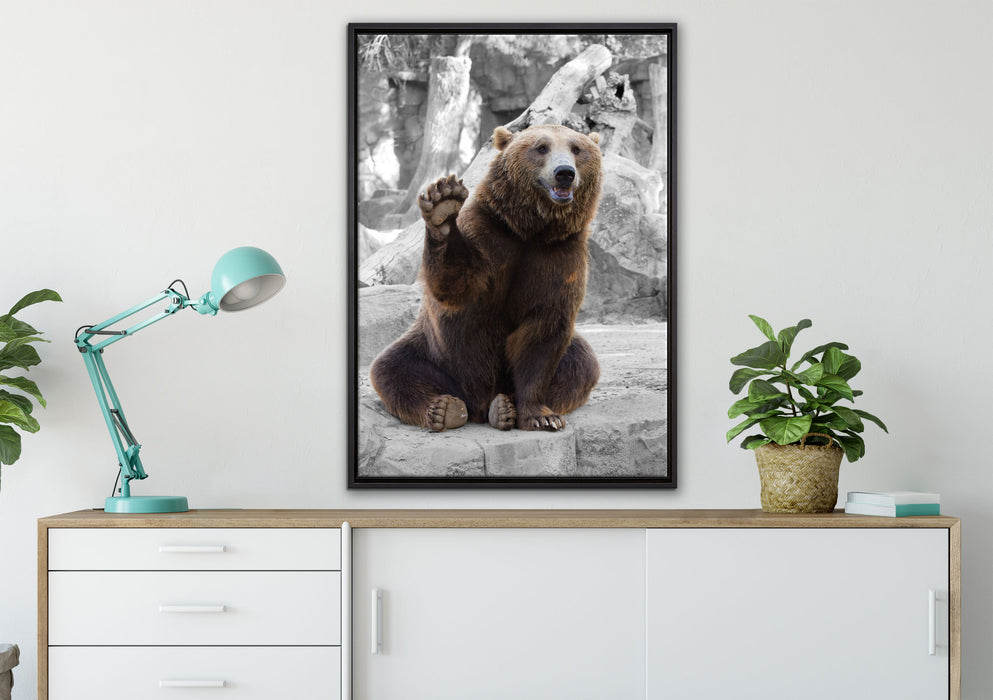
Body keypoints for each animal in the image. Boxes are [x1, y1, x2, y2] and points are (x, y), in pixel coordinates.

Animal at [369, 124, 603, 432]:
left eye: (577, 148)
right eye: (541, 147)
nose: (565, 172)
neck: (531, 230)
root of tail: (477, 404)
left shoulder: (560, 256)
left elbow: (544, 331)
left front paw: (541, 416)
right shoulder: (488, 235)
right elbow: (455, 285)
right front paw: (443, 205)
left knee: (581, 366)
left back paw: (503, 407)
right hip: (433, 353)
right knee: (391, 369)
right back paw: (444, 409)